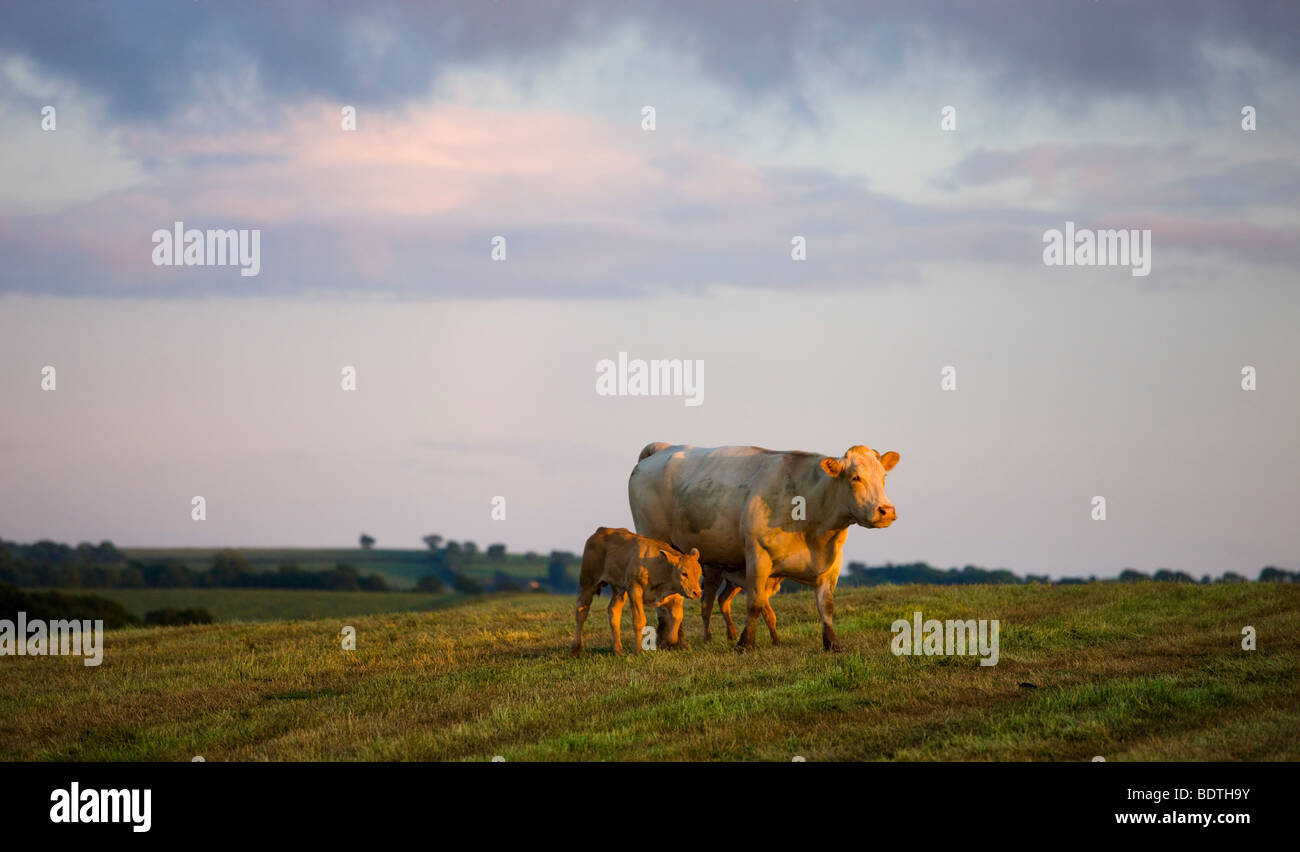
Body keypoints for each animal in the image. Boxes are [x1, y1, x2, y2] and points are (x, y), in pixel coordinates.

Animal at [570, 526, 704, 656]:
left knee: (614, 612)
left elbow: (677, 618)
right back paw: (576, 648)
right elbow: (639, 620)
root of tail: (601, 530)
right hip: (588, 583)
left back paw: (618, 650)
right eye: (684, 573)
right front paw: (638, 650)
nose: (696, 592)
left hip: (619, 590)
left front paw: (669, 642)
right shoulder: (635, 590)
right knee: (581, 611)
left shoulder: (675, 597)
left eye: (699, 573)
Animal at [629, 443, 899, 651]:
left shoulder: (832, 564)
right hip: (657, 541)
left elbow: (826, 606)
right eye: (856, 477)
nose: (886, 510)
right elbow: (756, 604)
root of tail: (662, 449)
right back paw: (672, 641)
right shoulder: (758, 556)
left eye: (884, 477)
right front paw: (745, 643)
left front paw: (833, 644)